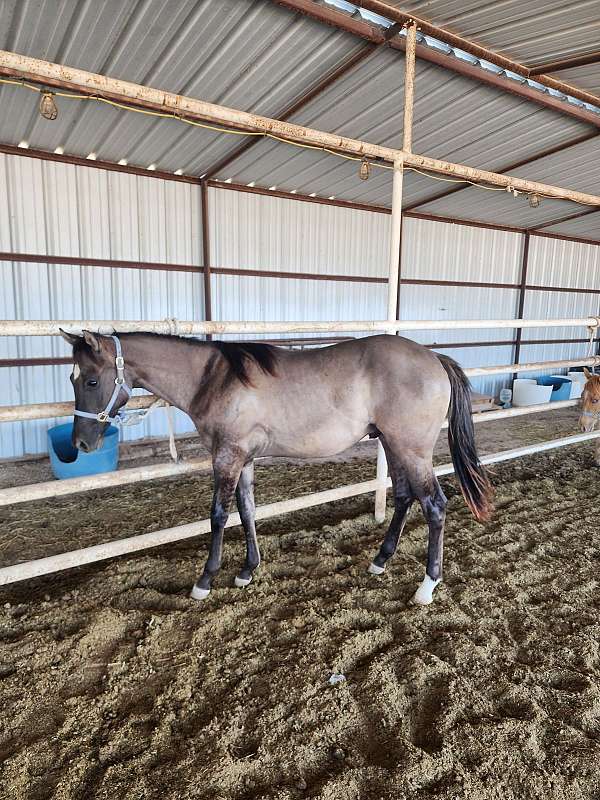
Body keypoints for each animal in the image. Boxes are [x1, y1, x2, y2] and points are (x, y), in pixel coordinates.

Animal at [59, 330, 493, 605]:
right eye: (73, 377)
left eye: (93, 380)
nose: (81, 444)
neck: (213, 379)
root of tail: (433, 358)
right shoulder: (244, 458)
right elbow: (247, 510)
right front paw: (247, 570)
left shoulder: (227, 456)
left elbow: (218, 515)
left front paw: (205, 580)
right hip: (392, 444)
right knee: (403, 497)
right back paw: (380, 561)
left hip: (412, 449)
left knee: (434, 506)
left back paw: (426, 587)